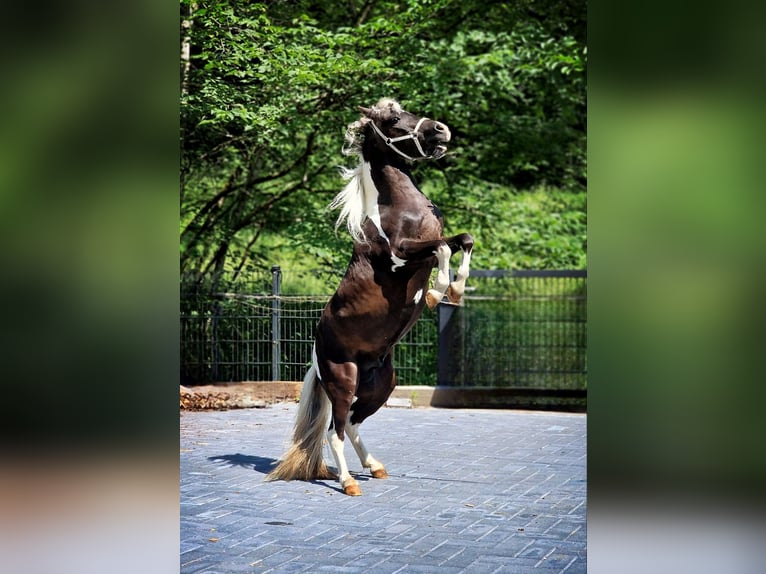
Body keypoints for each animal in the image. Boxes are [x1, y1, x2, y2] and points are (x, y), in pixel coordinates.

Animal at [268, 97, 474, 498]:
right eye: (393, 118)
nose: (441, 130)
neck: (401, 209)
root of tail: (316, 352)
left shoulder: (433, 243)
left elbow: (463, 239)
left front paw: (456, 290)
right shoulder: (400, 255)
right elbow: (442, 248)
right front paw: (437, 293)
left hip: (381, 386)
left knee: (352, 424)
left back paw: (374, 467)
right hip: (343, 382)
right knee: (334, 430)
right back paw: (348, 482)